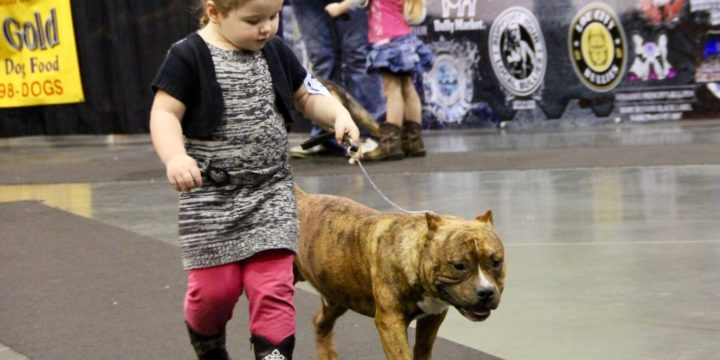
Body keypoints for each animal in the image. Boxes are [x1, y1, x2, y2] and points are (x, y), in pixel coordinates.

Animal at [292, 187, 506, 358]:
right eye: (459, 265)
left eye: (496, 262)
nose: (486, 292)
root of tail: (301, 197)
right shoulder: (391, 322)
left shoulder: (433, 317)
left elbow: (422, 350)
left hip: (338, 296)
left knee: (321, 322)